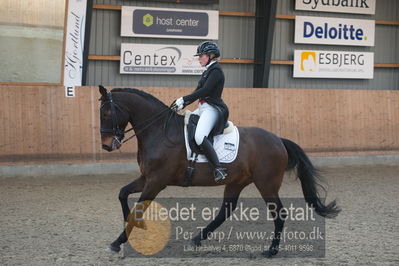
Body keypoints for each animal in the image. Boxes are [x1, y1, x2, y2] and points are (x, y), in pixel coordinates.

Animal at [99, 86, 340, 256]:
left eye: (108, 112)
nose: (106, 146)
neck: (159, 131)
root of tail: (278, 140)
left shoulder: (156, 181)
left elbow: (138, 208)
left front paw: (118, 241)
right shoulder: (146, 178)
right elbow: (122, 194)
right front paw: (136, 227)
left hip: (267, 185)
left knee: (279, 213)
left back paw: (271, 251)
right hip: (237, 181)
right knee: (226, 209)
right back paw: (197, 238)